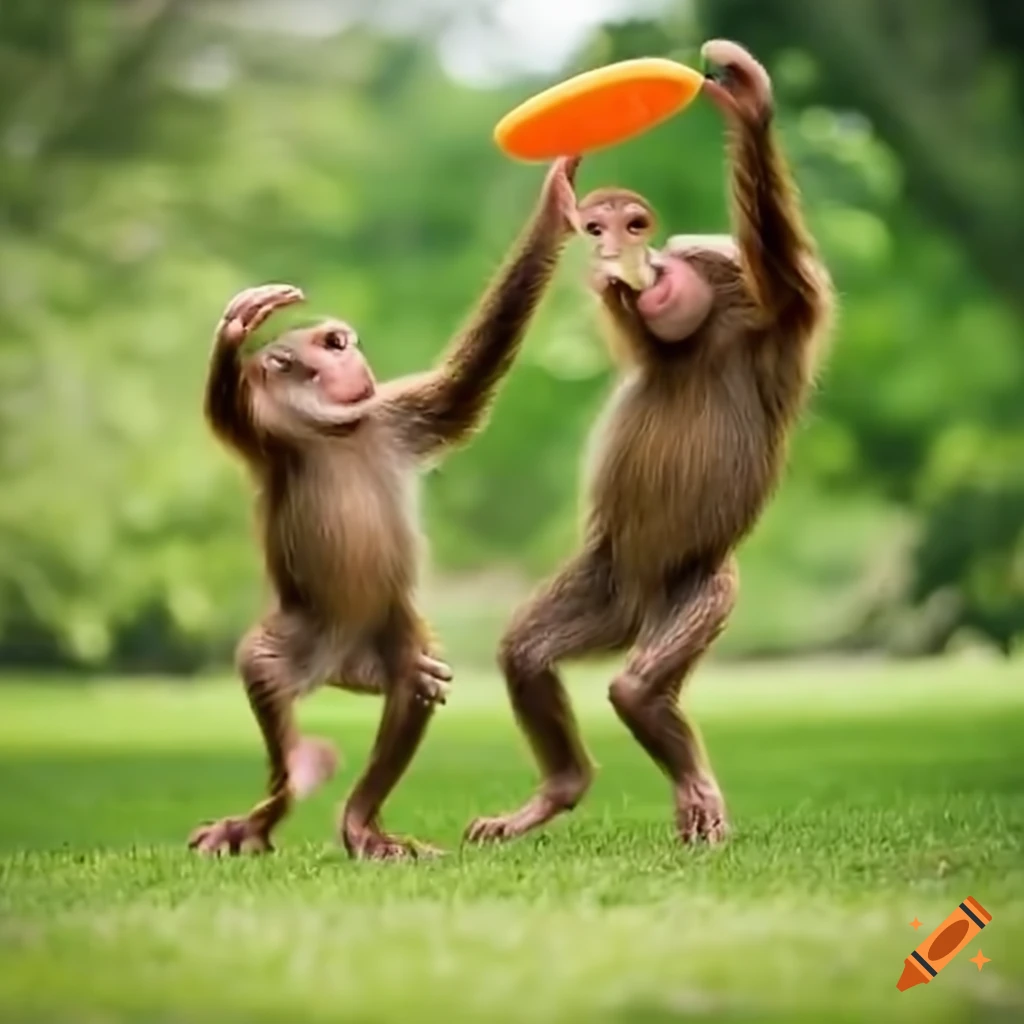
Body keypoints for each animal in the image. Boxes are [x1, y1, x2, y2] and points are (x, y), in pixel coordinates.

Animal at [188, 156, 581, 861]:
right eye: (329, 344)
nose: (351, 351)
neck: (336, 431)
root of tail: (341, 665)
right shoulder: (271, 439)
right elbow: (225, 409)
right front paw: (236, 329)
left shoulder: (391, 416)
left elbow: (461, 387)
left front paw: (556, 200)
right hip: (304, 631)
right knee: (265, 671)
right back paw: (271, 806)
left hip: (385, 635)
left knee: (411, 686)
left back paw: (361, 822)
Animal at [464, 40, 834, 847]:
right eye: (620, 233)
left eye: (645, 233)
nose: (646, 259)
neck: (700, 339)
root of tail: (635, 608)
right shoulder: (648, 333)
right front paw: (566, 206)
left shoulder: (783, 316)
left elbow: (775, 256)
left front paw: (748, 105)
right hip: (599, 586)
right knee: (526, 654)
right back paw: (556, 789)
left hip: (699, 590)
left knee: (638, 686)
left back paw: (690, 786)